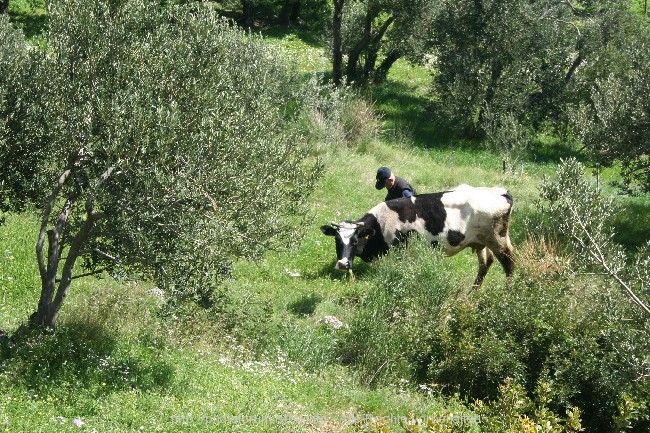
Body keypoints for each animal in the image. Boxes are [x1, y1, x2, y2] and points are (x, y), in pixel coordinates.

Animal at [318, 183, 512, 286]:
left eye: (355, 240)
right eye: (337, 240)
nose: (343, 264)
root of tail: (500, 191)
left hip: (499, 239)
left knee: (509, 263)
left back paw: (509, 292)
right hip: (481, 242)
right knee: (485, 264)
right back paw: (473, 291)